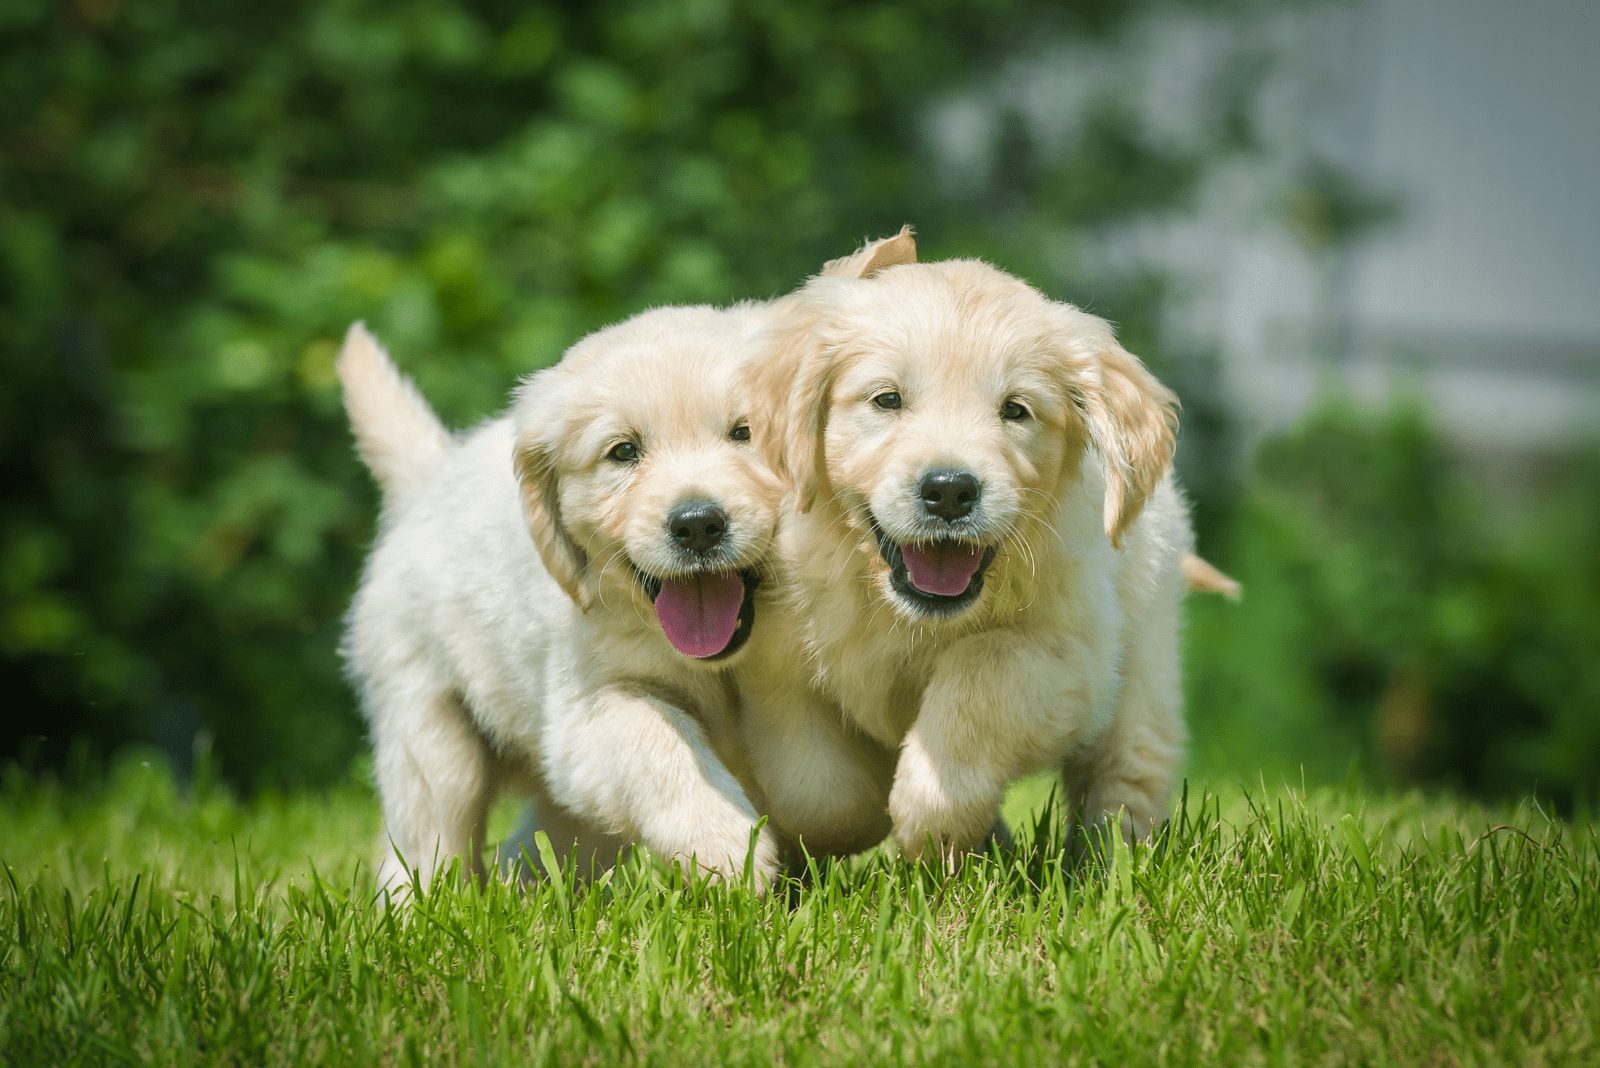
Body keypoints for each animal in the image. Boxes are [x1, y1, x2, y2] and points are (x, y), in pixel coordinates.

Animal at [340, 306, 784, 895]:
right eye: (624, 452)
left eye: (745, 433)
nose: (697, 525)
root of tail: (430, 479)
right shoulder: (585, 712)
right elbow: (654, 739)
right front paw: (726, 845)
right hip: (428, 730)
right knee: (425, 842)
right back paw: (424, 906)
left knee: (535, 847)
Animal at [748, 254, 1203, 863]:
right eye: (887, 399)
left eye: (1016, 410)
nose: (949, 491)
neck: (909, 616)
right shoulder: (781, 656)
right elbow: (817, 791)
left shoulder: (1070, 654)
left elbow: (980, 677)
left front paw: (930, 820)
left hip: (1143, 664)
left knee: (1126, 778)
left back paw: (1110, 865)